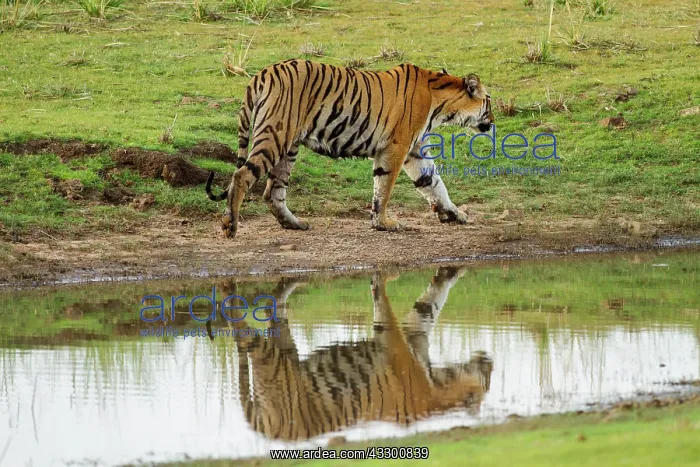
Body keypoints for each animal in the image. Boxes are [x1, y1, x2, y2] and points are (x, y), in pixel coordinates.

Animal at [205, 59, 494, 238]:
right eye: (489, 102)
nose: (492, 122)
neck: (440, 103)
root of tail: (263, 73)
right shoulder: (396, 148)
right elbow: (384, 188)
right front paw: (383, 223)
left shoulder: (415, 151)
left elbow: (434, 184)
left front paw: (455, 214)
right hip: (275, 136)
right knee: (241, 176)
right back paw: (230, 225)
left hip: (288, 147)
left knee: (273, 191)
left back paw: (295, 224)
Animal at [208, 267, 493, 441]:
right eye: (488, 381)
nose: (491, 363)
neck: (440, 385)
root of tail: (265, 431)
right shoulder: (396, 343)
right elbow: (385, 309)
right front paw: (378, 283)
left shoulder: (416, 334)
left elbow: (430, 304)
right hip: (271, 360)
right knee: (243, 329)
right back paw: (228, 297)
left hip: (285, 352)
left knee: (272, 312)